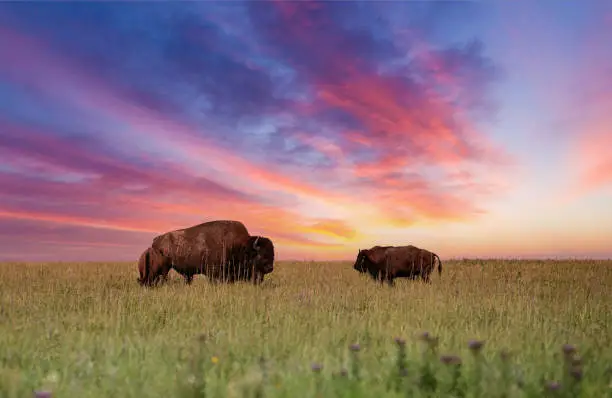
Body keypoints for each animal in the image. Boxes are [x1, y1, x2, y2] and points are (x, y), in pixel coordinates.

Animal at [139, 219, 274, 288]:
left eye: (272, 253)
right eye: (261, 254)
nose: (270, 268)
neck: (240, 246)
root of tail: (156, 240)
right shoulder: (215, 272)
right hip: (162, 269)